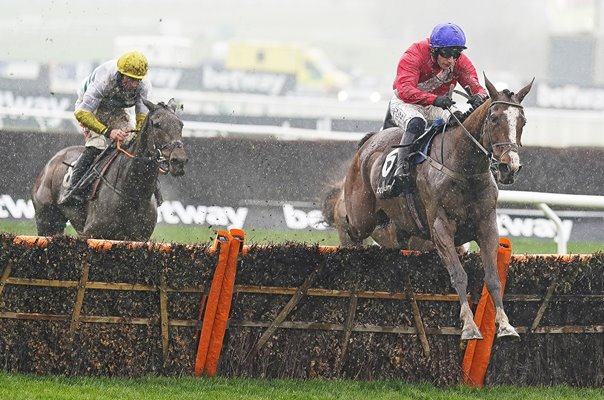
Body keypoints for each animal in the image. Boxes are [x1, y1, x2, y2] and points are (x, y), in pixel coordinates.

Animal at [30, 98, 186, 241]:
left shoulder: (139, 238)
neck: (133, 192)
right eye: (157, 124)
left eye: (181, 125)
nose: (179, 160)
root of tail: (52, 162)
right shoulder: (90, 233)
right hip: (46, 220)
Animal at [324, 76, 536, 340]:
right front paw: (469, 326)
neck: (464, 169)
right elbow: (458, 274)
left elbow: (493, 278)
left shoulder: (486, 225)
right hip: (361, 216)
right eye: (494, 117)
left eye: (522, 121)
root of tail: (368, 142)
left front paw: (506, 326)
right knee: (348, 222)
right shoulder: (440, 227)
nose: (510, 168)